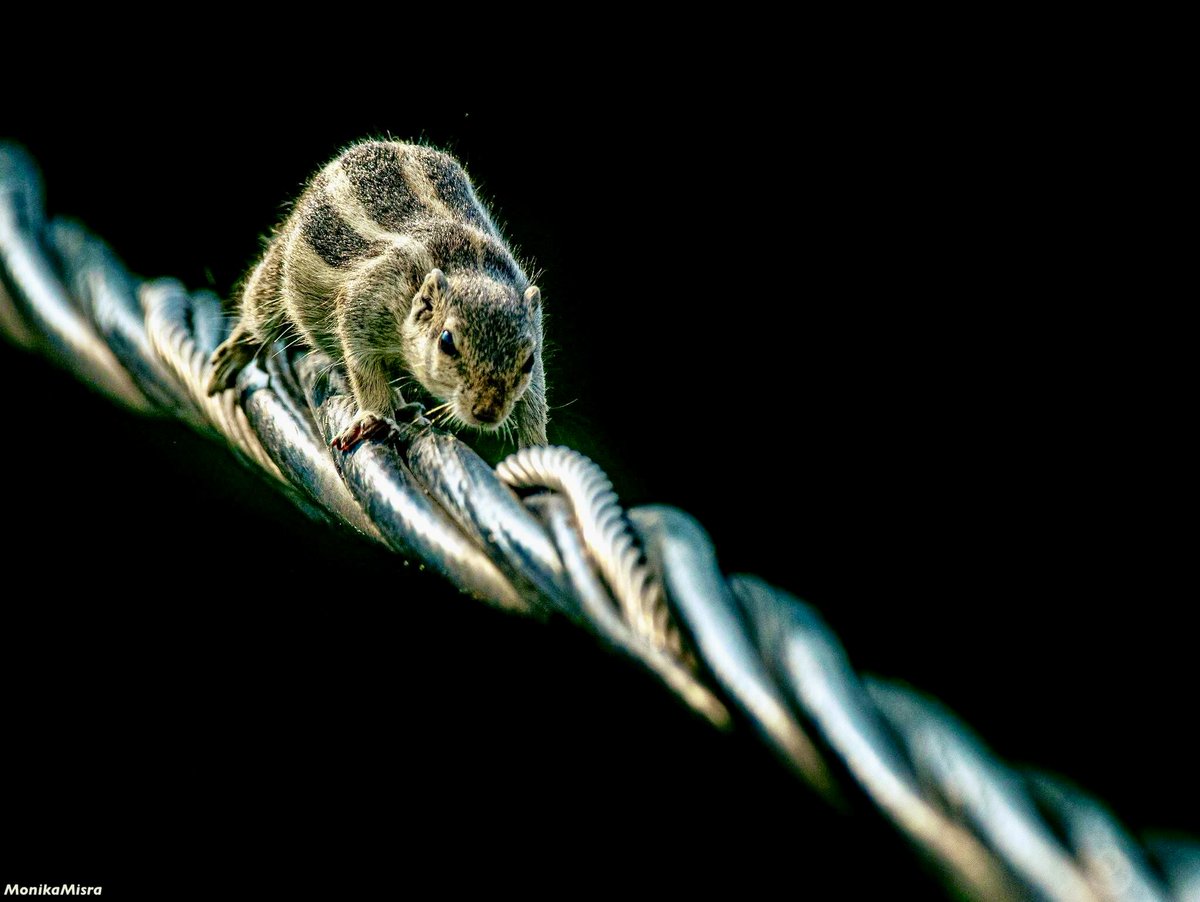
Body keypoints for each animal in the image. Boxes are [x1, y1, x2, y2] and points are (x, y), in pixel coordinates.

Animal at [206, 139, 547, 450]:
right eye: (446, 341)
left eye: (528, 359)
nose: (487, 412)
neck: (469, 267)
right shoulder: (363, 303)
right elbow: (364, 369)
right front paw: (374, 418)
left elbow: (535, 397)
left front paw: (536, 446)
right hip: (276, 277)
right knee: (257, 317)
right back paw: (229, 359)